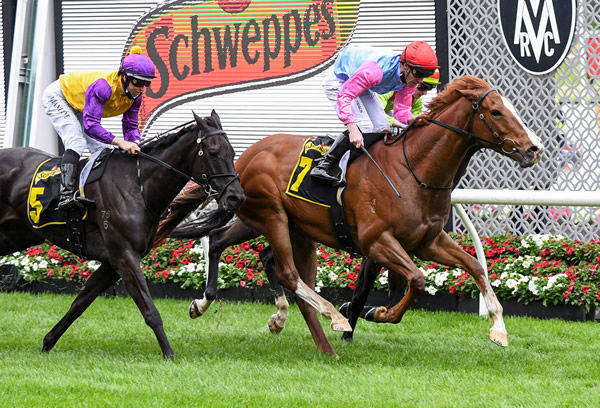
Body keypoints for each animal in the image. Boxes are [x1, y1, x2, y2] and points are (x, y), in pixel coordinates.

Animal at [0, 109, 245, 356]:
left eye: (233, 151)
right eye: (213, 152)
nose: (236, 197)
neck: (137, 185)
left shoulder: (112, 262)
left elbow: (80, 302)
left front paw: (48, 342)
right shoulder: (124, 256)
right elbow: (149, 310)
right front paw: (169, 354)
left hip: (17, 236)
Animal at [159, 77, 544, 356]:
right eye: (495, 112)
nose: (533, 149)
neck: (414, 170)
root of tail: (244, 157)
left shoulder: (429, 241)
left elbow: (475, 266)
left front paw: (498, 329)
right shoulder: (378, 242)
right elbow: (417, 279)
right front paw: (379, 313)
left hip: (263, 220)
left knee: (225, 242)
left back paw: (220, 306)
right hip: (271, 216)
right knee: (285, 269)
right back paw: (332, 316)